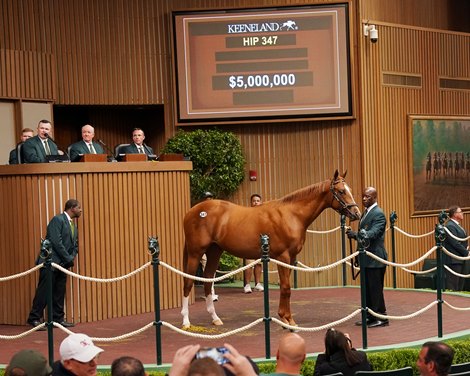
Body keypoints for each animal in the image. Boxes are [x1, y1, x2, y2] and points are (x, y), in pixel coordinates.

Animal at [180, 171, 360, 328]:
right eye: (341, 191)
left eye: (350, 190)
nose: (356, 213)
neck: (291, 215)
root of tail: (192, 211)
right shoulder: (283, 257)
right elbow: (286, 288)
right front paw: (287, 320)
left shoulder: (291, 259)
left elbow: (284, 287)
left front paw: (286, 318)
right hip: (196, 253)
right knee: (188, 282)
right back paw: (186, 321)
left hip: (214, 251)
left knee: (207, 280)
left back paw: (215, 318)